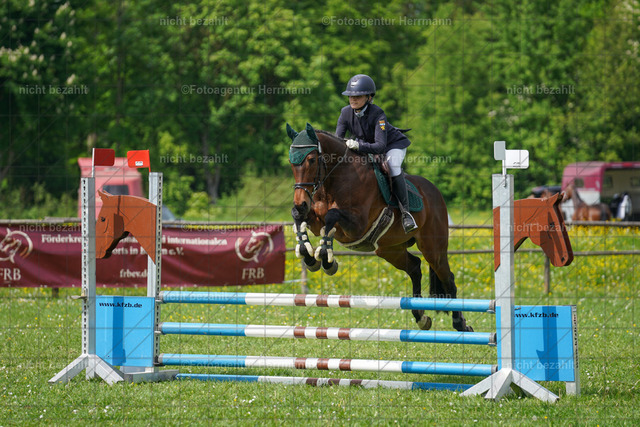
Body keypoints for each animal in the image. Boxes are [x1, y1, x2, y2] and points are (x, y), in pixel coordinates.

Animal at [287, 123, 472, 332]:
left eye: (311, 160)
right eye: (291, 161)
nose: (301, 203)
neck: (334, 181)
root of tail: (435, 192)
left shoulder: (356, 226)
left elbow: (331, 216)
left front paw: (327, 260)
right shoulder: (316, 220)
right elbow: (300, 218)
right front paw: (309, 256)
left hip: (433, 248)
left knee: (448, 278)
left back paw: (460, 323)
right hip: (389, 249)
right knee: (415, 268)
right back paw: (421, 317)